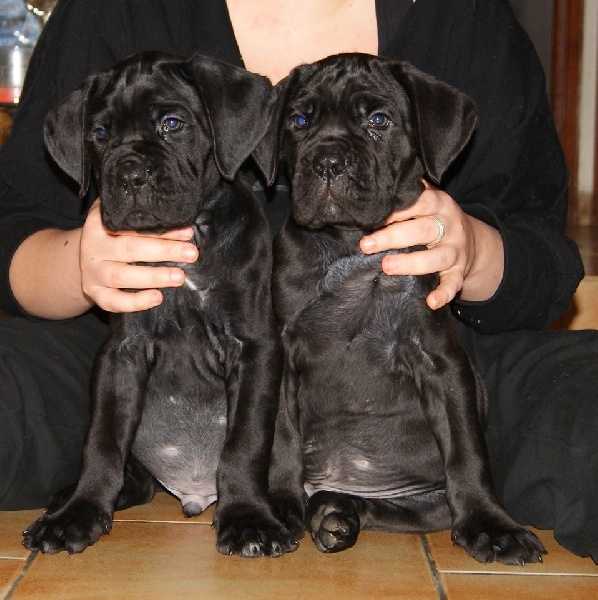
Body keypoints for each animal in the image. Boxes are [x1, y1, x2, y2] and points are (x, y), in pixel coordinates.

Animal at [24, 50, 298, 556]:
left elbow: (246, 441)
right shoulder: (122, 354)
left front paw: (249, 518)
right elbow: (103, 440)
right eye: (100, 134)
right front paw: (78, 513)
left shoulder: (254, 347)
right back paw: (76, 497)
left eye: (172, 123)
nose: (129, 175)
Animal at [264, 54, 548, 564]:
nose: (327, 161)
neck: (351, 243)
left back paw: (338, 512)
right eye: (299, 121)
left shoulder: (439, 360)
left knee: (399, 509)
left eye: (379, 121)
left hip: (425, 504)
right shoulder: (283, 350)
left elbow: (466, 448)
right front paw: (277, 504)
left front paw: (490, 524)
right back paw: (324, 510)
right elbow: (281, 436)